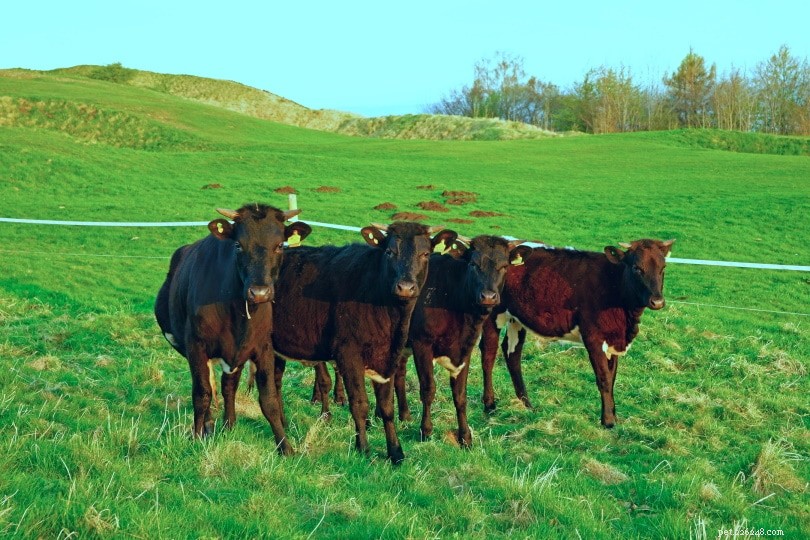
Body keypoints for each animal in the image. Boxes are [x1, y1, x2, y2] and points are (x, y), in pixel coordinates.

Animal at [154, 203, 311, 455]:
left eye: (280, 245)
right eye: (238, 245)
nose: (260, 292)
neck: (238, 312)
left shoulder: (262, 347)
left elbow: (269, 399)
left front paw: (285, 447)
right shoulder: (196, 345)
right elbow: (202, 393)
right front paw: (196, 437)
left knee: (228, 386)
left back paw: (229, 425)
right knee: (208, 385)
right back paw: (209, 426)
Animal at [270, 222, 457, 463]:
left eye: (425, 254)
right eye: (390, 252)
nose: (405, 287)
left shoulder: (388, 357)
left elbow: (386, 406)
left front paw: (395, 452)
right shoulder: (348, 353)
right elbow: (359, 403)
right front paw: (364, 448)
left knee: (275, 382)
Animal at [391, 235, 530, 447]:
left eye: (505, 266)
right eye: (473, 264)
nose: (488, 297)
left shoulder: (465, 348)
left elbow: (460, 394)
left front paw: (465, 437)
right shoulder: (422, 344)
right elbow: (428, 389)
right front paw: (426, 431)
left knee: (399, 373)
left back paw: (404, 415)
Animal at [479, 238, 674, 428]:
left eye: (663, 267)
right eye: (636, 268)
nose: (657, 301)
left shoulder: (613, 338)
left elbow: (612, 377)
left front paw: (614, 417)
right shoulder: (593, 337)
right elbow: (604, 378)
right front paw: (608, 421)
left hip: (516, 319)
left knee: (512, 353)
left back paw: (526, 404)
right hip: (492, 313)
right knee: (488, 354)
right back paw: (490, 406)